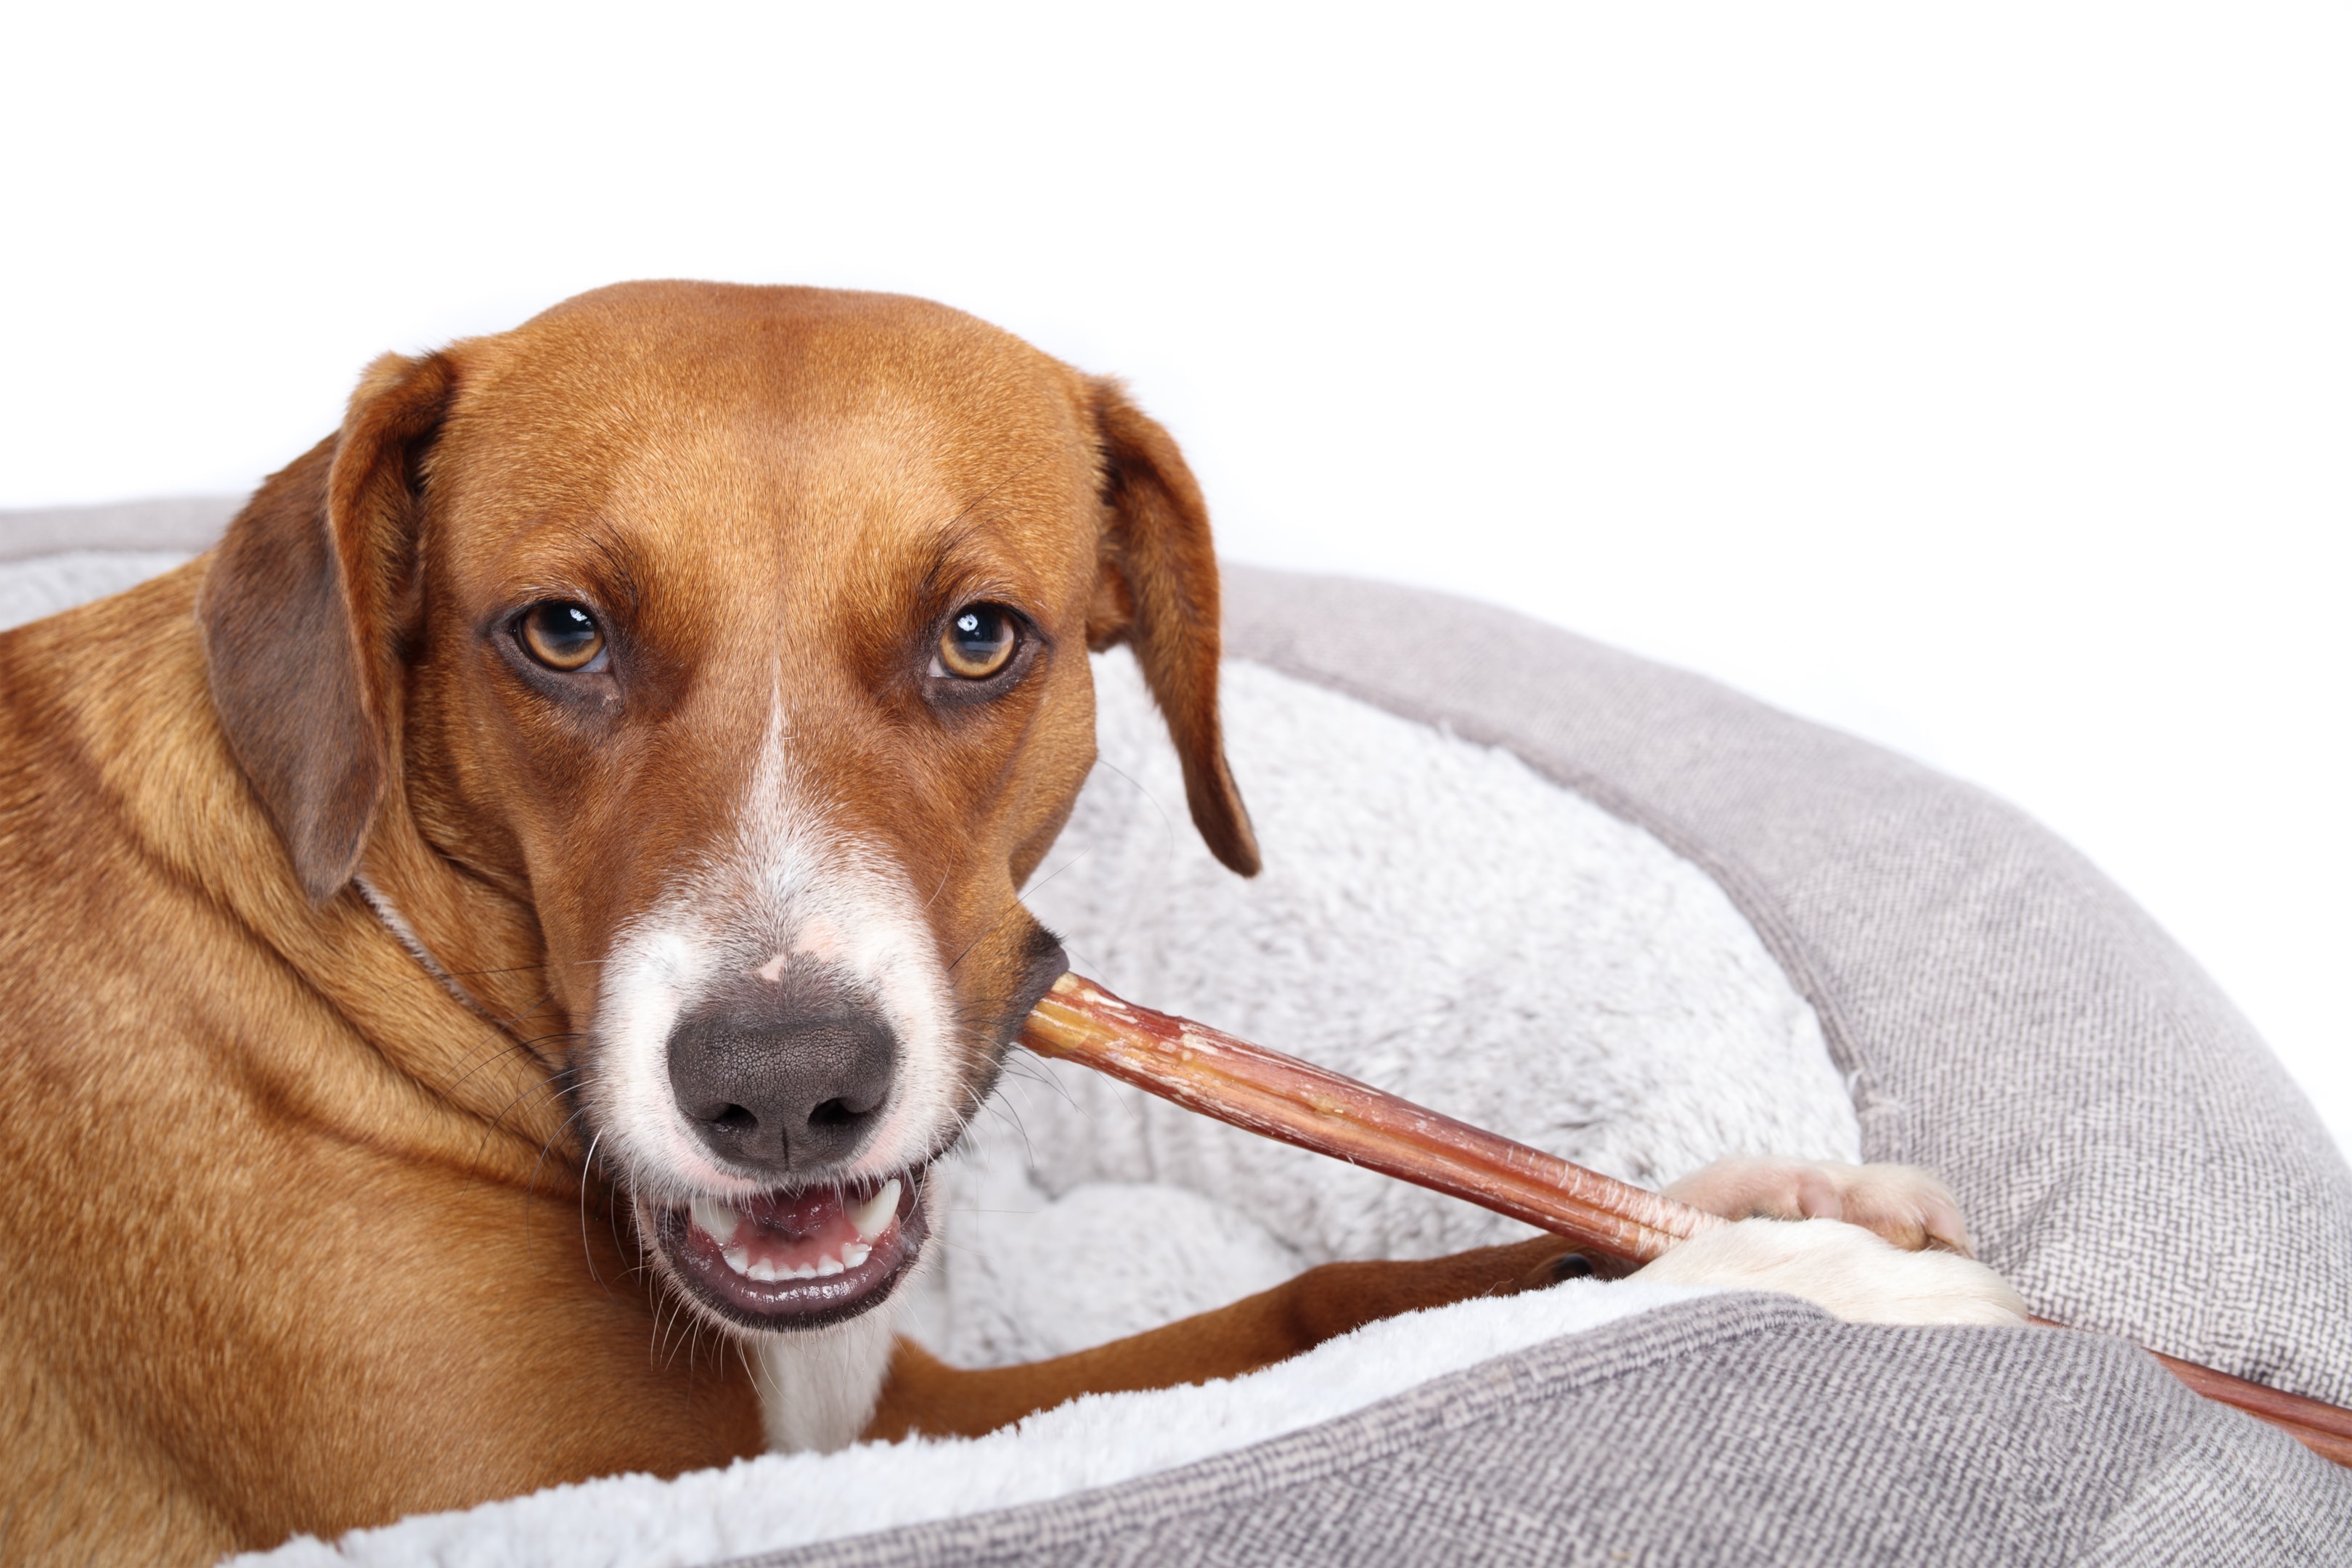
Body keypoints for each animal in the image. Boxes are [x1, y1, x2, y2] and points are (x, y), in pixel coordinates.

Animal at [0, 285, 2022, 1568]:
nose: (785, 1088)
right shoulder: (544, 1511)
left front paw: (1766, 1211)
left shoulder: (905, 1408)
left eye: (978, 637)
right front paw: (1806, 1280)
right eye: (559, 634)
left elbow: (1324, 1304)